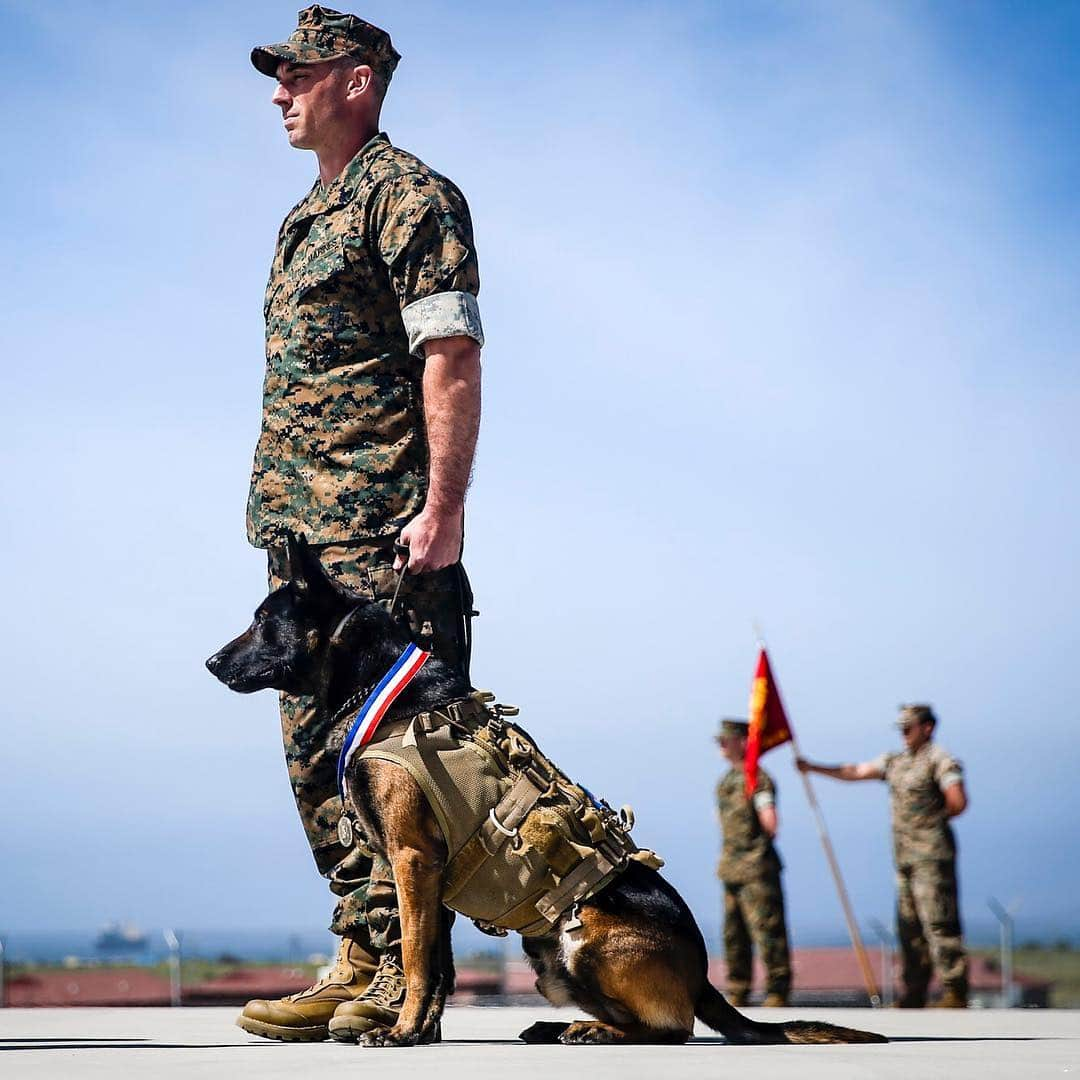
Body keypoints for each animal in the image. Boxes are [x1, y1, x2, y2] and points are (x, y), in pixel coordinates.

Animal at [208, 535, 885, 1049]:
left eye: (262, 622)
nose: (211, 662)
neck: (381, 684)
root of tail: (702, 977)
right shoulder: (431, 875)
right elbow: (440, 964)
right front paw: (420, 1032)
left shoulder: (411, 859)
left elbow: (419, 957)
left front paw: (398, 1033)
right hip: (549, 958)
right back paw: (565, 1027)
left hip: (584, 939)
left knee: (673, 1028)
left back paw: (595, 1033)